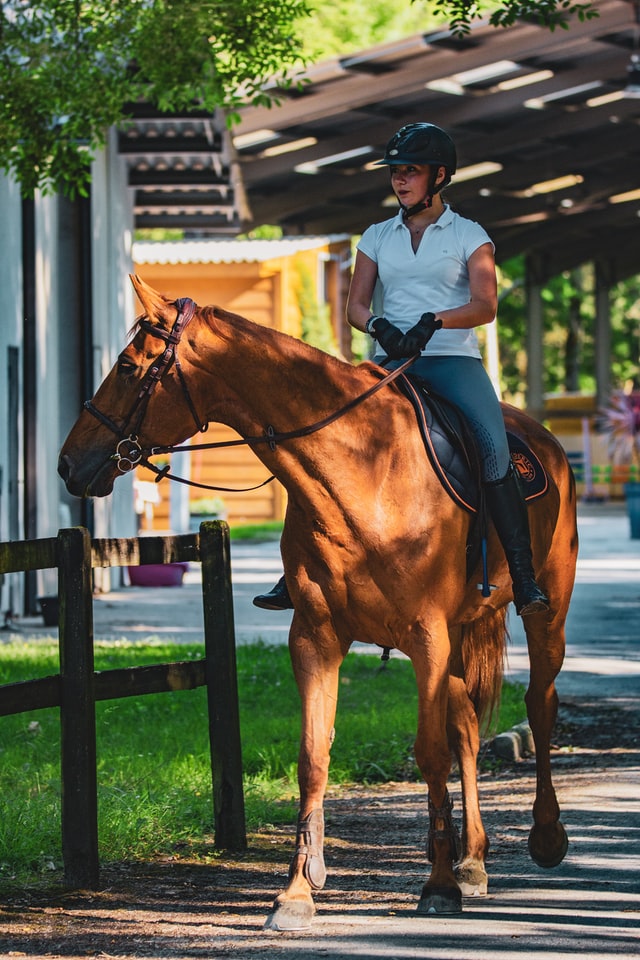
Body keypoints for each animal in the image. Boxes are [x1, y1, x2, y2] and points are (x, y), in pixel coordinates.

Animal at [60, 276, 576, 928]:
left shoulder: (426, 636)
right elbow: (314, 755)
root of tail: (542, 439)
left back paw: (544, 838)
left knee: (539, 703)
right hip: (460, 636)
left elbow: (428, 752)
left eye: (128, 368)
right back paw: (473, 862)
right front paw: (297, 891)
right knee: (465, 726)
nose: (68, 464)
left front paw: (435, 886)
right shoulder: (316, 636)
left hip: (545, 616)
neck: (362, 471)